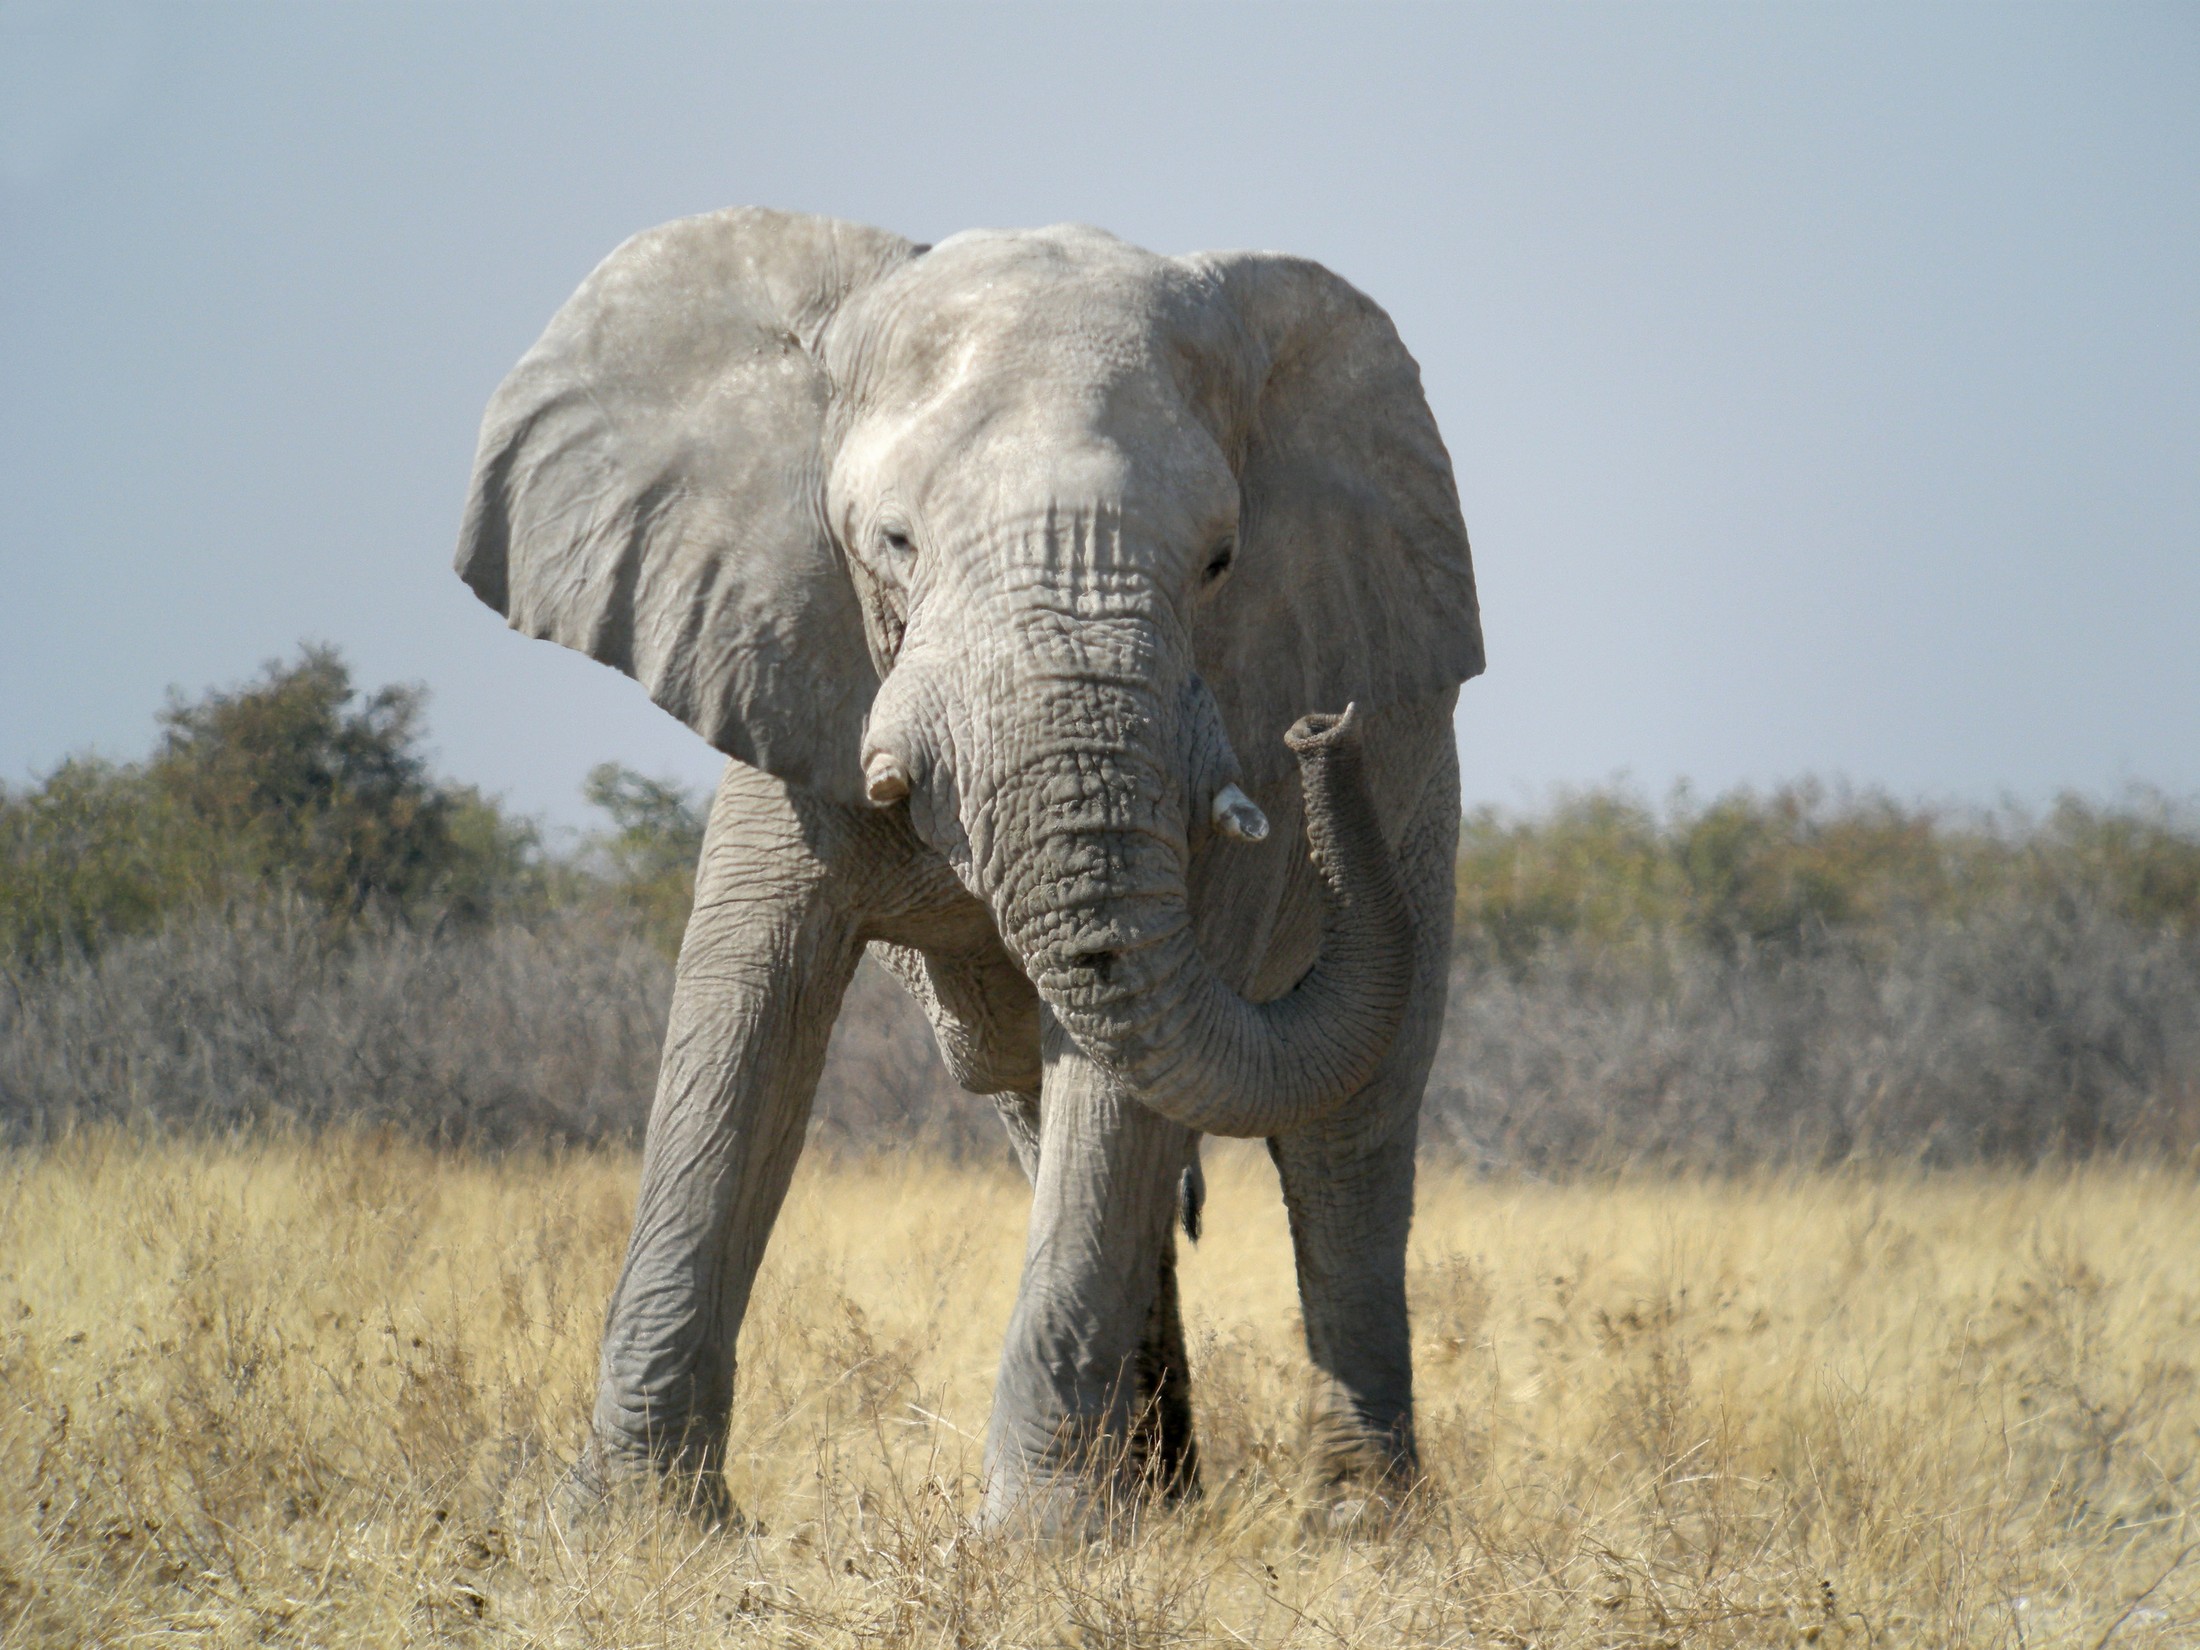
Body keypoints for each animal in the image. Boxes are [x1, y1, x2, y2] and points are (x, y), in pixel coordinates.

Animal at [454, 208, 1483, 1528]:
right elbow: (743, 1012)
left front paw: (1040, 1539)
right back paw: (1162, 1497)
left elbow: (1127, 1078)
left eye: (1220, 561)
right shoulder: (787, 648)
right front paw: (632, 1526)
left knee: (1343, 1143)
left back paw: (1354, 1521)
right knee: (1049, 1118)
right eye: (892, 540)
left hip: (1421, 810)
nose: (1320, 732)